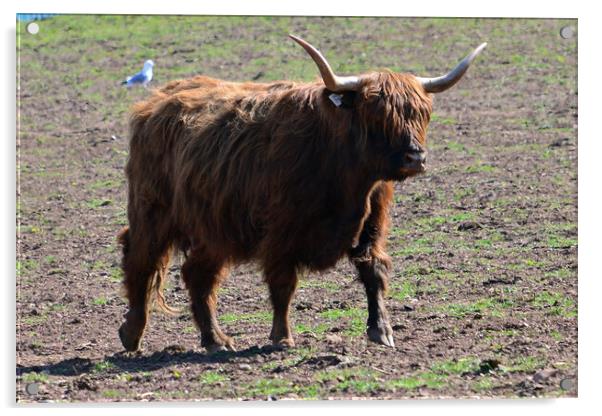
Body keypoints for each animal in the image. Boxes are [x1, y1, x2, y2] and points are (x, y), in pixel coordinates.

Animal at [116, 36, 482, 354]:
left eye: (421, 113)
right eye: (377, 114)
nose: (415, 158)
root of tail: (157, 101)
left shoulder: (372, 224)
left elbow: (373, 272)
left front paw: (382, 331)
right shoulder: (282, 231)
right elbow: (283, 283)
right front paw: (282, 337)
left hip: (215, 227)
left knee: (197, 275)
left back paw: (216, 339)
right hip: (152, 212)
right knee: (140, 259)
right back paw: (132, 333)